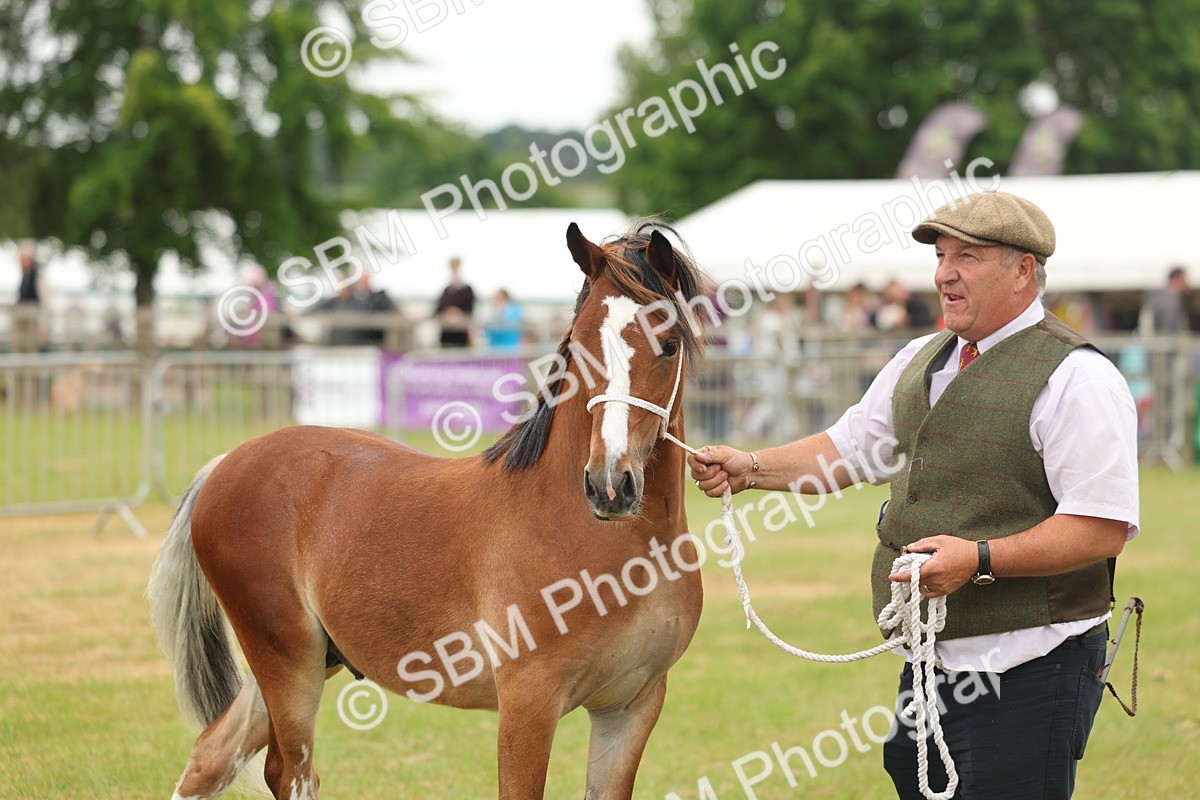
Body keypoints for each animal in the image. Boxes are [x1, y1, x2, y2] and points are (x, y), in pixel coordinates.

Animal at [148, 221, 710, 799]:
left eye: (668, 345)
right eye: (579, 345)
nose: (609, 485)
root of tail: (226, 463)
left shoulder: (631, 707)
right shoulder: (529, 704)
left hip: (309, 659)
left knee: (211, 756)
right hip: (287, 660)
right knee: (289, 772)